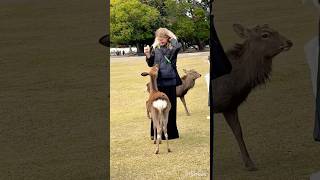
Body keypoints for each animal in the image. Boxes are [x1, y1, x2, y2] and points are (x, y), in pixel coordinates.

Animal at [212, 23, 292, 170]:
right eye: (265, 34)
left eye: (275, 30)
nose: (288, 42)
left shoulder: (230, 106)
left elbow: (238, 132)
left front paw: (250, 164)